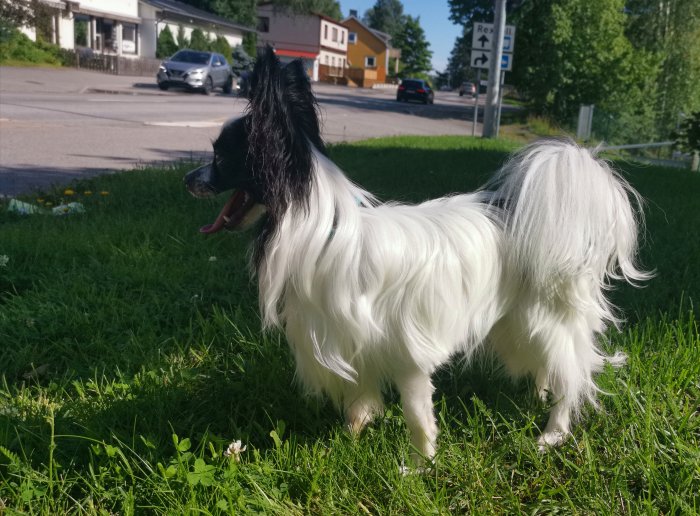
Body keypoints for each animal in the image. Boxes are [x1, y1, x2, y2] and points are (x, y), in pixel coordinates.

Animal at [185, 47, 644, 460]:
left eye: (221, 156)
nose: (189, 179)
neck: (322, 228)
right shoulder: (353, 346)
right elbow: (359, 400)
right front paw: (352, 438)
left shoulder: (408, 356)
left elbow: (418, 415)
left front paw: (420, 467)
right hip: (519, 325)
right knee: (552, 369)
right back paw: (539, 398)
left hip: (544, 320)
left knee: (573, 378)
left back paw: (552, 435)